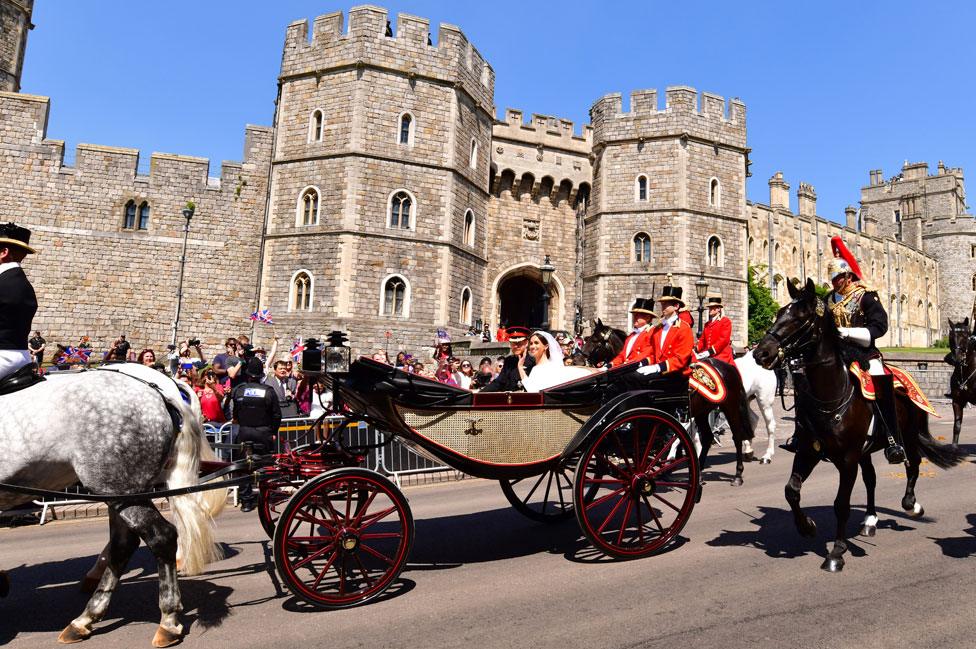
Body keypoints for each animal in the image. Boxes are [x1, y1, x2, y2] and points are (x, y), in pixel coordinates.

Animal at [0, 362, 225, 644]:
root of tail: (160, 390)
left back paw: (168, 619)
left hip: (116, 488)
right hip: (120, 492)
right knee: (124, 544)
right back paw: (85, 618)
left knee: (161, 536)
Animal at [580, 316, 756, 484]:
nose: (580, 357)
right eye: (588, 337)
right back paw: (699, 473)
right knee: (707, 437)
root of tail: (729, 367)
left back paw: (737, 474)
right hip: (702, 411)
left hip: (730, 406)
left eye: (595, 340)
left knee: (737, 436)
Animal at [752, 276, 964, 568]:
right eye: (780, 312)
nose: (761, 353)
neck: (830, 395)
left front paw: (836, 553)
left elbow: (841, 504)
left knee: (913, 466)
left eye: (801, 318)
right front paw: (807, 526)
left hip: (907, 437)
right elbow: (791, 490)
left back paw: (911, 504)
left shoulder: (848, 458)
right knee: (871, 479)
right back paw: (870, 520)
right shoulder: (808, 451)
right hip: (867, 450)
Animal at [944, 318, 976, 446]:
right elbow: (956, 426)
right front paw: (954, 448)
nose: (956, 359)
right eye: (951, 336)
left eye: (966, 336)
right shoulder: (957, 401)